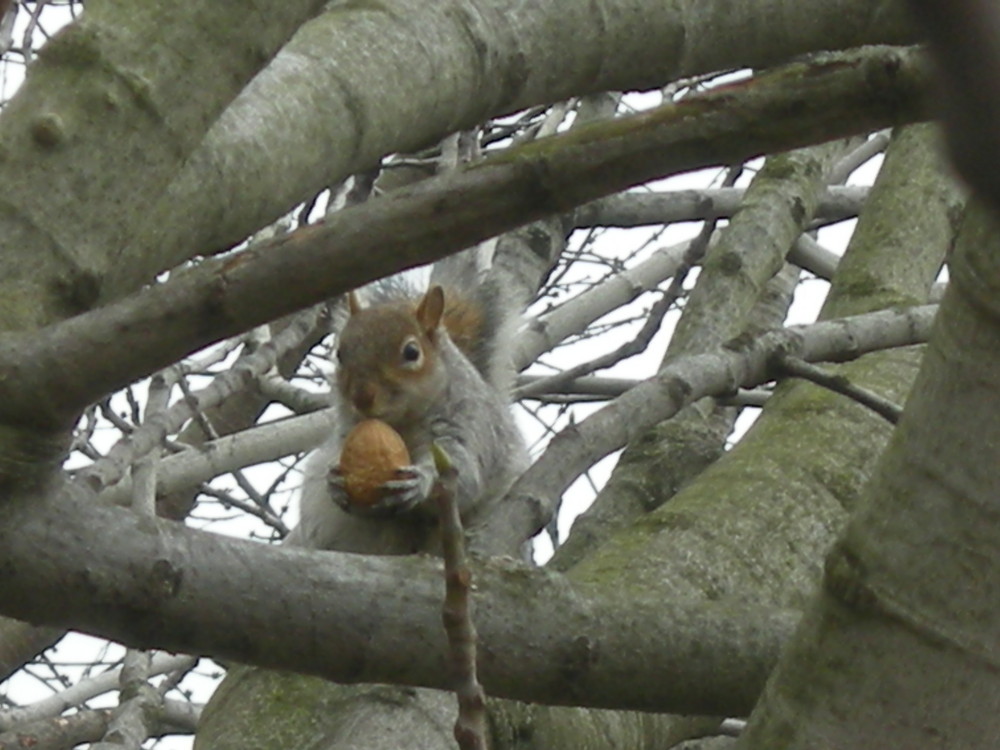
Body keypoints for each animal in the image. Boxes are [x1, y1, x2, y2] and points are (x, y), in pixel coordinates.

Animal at [290, 272, 528, 560]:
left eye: (412, 352)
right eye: (339, 354)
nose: (361, 397)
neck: (402, 421)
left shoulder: (470, 424)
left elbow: (463, 472)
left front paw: (421, 481)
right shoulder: (349, 429)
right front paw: (334, 481)